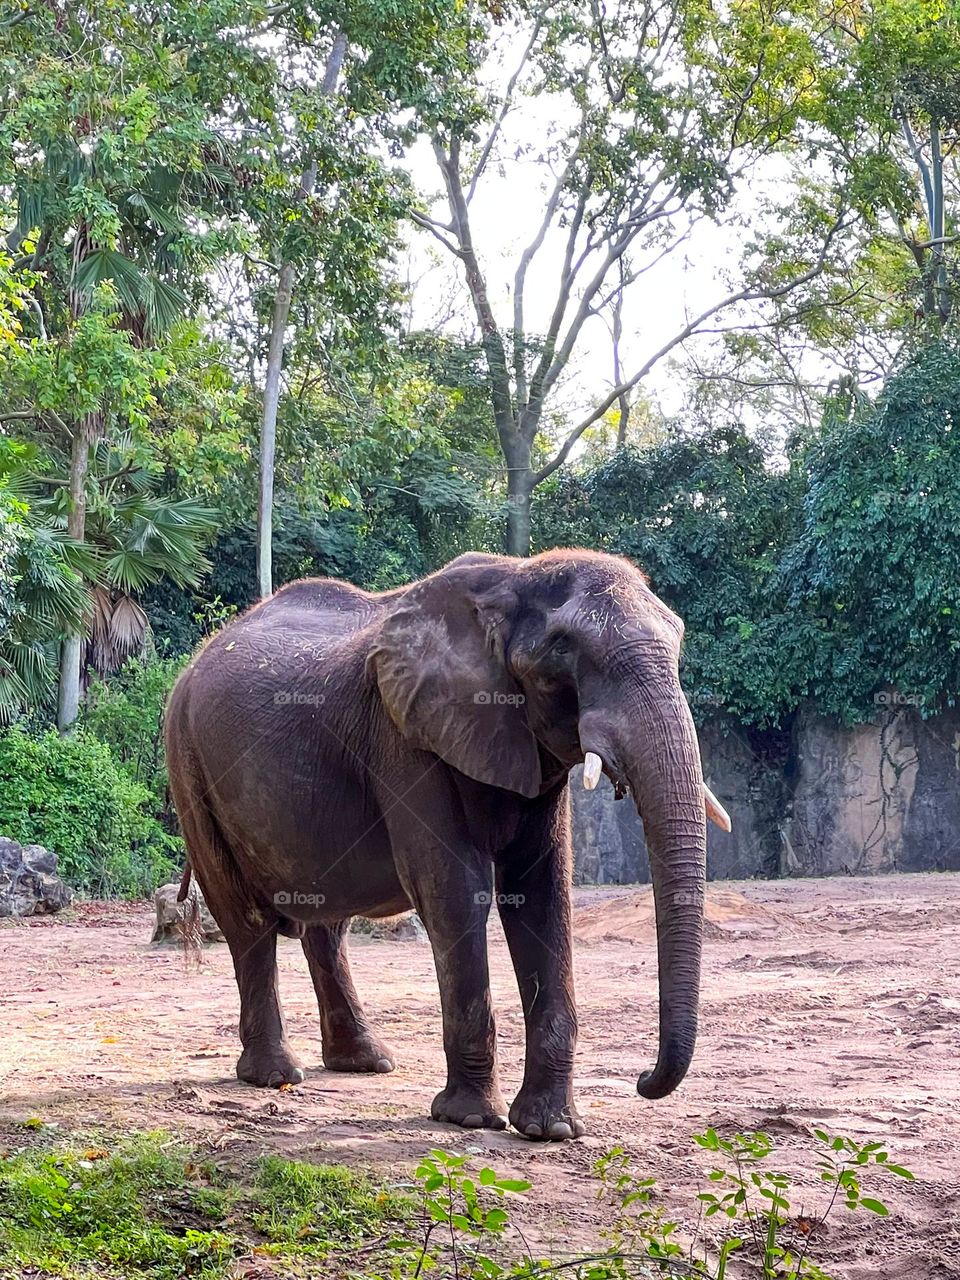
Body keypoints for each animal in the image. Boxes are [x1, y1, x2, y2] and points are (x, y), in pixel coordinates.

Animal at [165, 549, 731, 1141]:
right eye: (562, 649)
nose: (643, 1080)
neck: (515, 576)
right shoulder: (404, 736)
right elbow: (456, 890)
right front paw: (471, 1119)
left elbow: (542, 895)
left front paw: (551, 1129)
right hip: (188, 765)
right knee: (246, 920)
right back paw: (276, 1075)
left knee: (325, 922)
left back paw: (366, 1062)